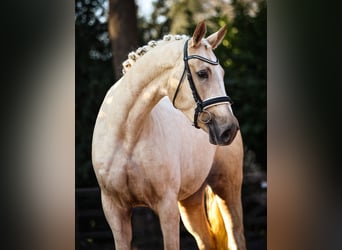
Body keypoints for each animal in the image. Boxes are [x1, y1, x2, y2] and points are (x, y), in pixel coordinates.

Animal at [91, 21, 246, 250]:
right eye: (203, 73)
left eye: (223, 73)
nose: (229, 129)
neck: (127, 136)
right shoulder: (115, 210)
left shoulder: (166, 207)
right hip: (190, 201)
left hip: (227, 189)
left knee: (236, 237)